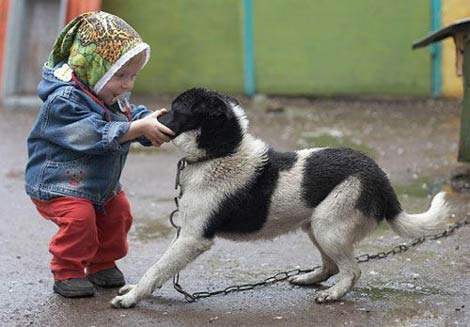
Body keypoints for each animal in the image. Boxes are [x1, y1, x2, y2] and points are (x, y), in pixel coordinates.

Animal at [111, 88, 452, 308]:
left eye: (176, 108)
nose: (145, 120)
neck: (222, 152)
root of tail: (382, 179)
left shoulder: (193, 237)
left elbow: (157, 268)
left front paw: (131, 298)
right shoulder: (187, 234)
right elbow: (160, 268)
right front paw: (137, 290)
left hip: (328, 226)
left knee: (352, 271)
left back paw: (333, 294)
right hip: (316, 226)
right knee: (331, 266)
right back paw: (310, 279)